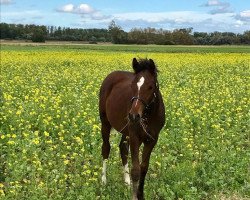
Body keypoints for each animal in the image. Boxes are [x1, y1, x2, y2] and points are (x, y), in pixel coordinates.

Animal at [98, 57, 165, 200]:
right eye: (132, 85)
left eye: (151, 87)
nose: (134, 116)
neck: (148, 115)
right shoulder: (135, 137)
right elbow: (136, 170)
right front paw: (134, 196)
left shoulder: (152, 139)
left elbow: (144, 167)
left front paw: (141, 194)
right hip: (105, 123)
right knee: (106, 148)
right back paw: (103, 181)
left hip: (126, 131)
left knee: (123, 149)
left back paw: (127, 182)